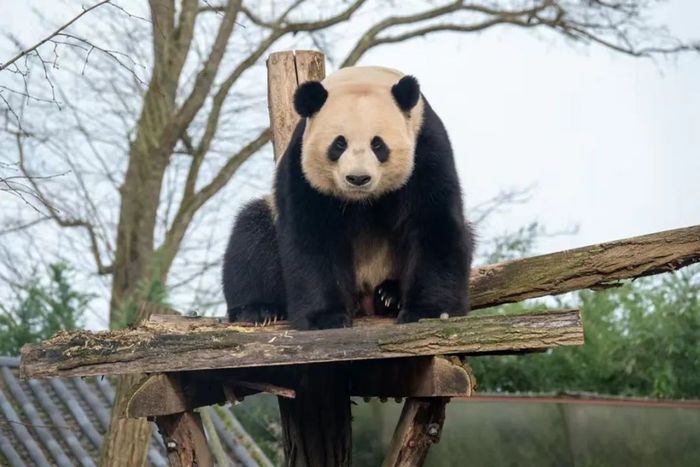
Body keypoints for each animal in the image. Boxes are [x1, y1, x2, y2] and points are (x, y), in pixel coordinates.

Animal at [223, 66, 476, 330]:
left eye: (378, 144)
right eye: (339, 144)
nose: (358, 178)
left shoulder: (426, 148)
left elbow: (433, 222)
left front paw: (429, 310)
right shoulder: (301, 165)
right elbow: (312, 235)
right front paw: (325, 317)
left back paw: (390, 295)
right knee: (252, 237)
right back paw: (259, 309)